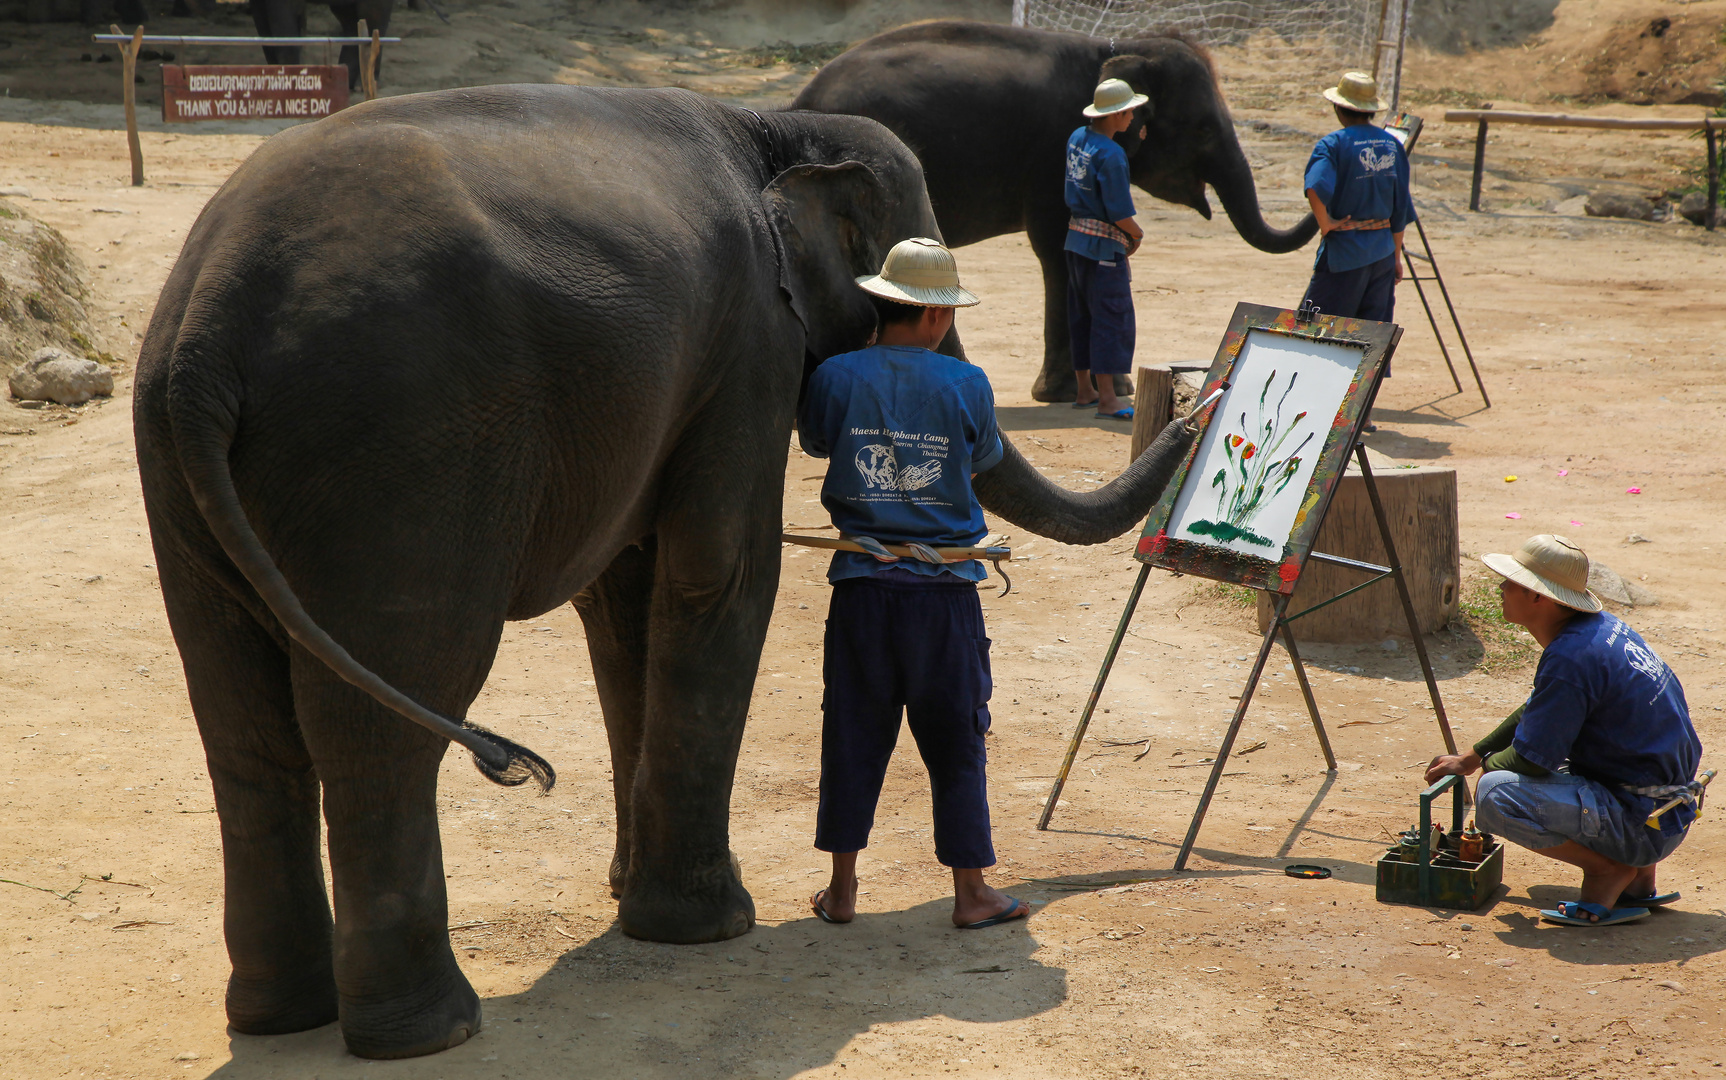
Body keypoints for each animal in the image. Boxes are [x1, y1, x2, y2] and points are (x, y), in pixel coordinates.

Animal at [134, 86, 1201, 1062]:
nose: (1193, 410)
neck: (773, 125)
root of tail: (207, 330)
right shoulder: (751, 344)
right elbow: (720, 571)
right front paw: (709, 928)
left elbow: (624, 606)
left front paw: (628, 894)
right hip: (397, 450)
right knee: (383, 717)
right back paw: (430, 1031)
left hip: (186, 474)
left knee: (241, 726)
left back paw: (278, 1019)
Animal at [793, 19, 1318, 400]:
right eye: (1205, 129)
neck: (1115, 49)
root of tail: (801, 98)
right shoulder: (1051, 155)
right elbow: (1056, 246)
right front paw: (1083, 393)